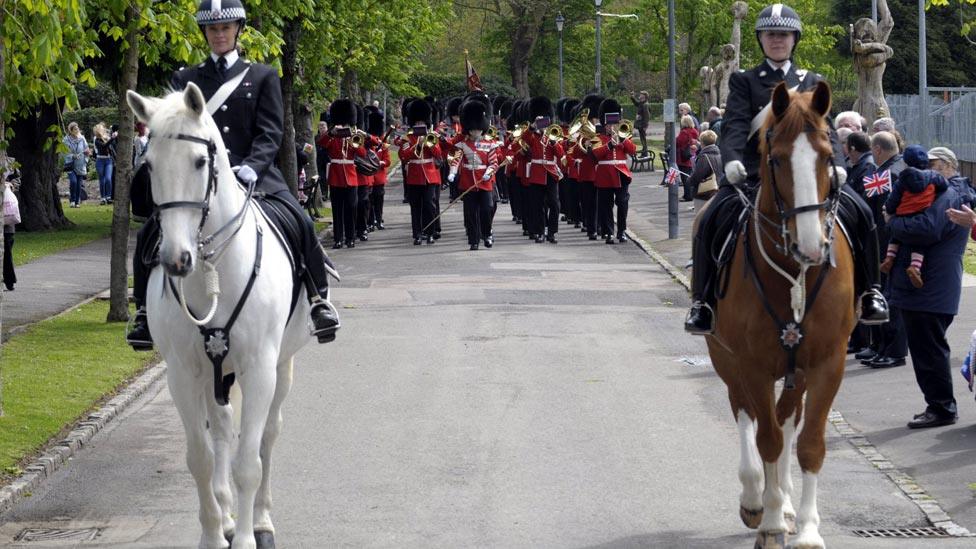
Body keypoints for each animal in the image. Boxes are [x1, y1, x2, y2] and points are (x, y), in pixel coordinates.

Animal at [127, 82, 312, 548]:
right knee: (225, 429)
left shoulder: (259, 368)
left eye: (199, 161)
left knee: (267, 436)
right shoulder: (183, 372)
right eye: (149, 165)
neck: (213, 269)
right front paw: (214, 533)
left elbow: (250, 462)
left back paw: (260, 519)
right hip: (217, 371)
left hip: (281, 366)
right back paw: (228, 515)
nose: (176, 260)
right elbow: (202, 459)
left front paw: (246, 536)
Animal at [700, 81, 856, 548]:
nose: (811, 245)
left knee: (787, 422)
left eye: (828, 154)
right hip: (725, 358)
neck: (794, 272)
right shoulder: (749, 364)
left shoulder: (826, 363)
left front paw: (805, 528)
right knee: (746, 415)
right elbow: (766, 438)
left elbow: (808, 444)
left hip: (793, 370)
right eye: (777, 158)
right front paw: (768, 521)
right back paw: (756, 499)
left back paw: (784, 502)